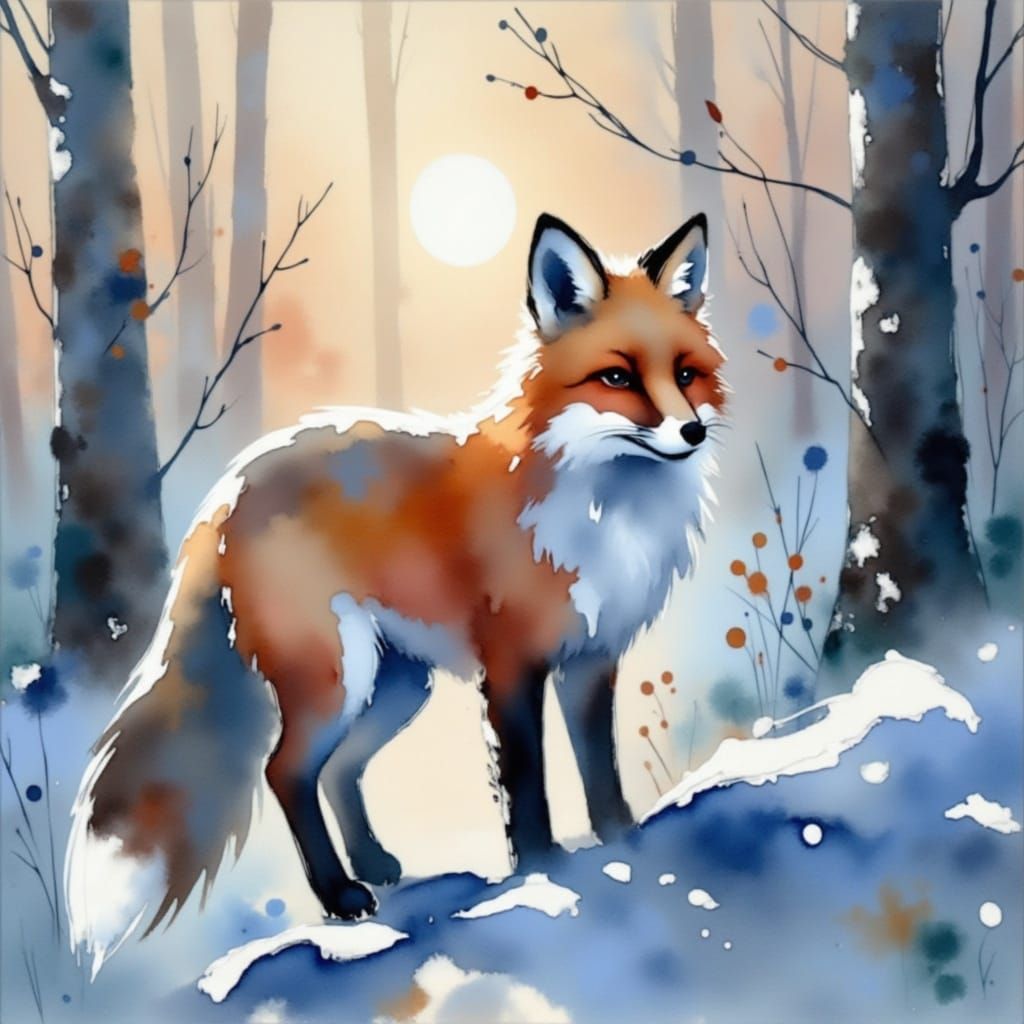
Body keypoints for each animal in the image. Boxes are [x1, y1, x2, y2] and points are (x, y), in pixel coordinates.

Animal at [65, 212, 726, 974]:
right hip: (334, 679)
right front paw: (541, 874)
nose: (692, 430)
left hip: (398, 687)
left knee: (337, 770)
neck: (602, 508)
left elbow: (601, 772)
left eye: (685, 374)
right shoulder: (512, 666)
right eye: (617, 377)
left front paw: (621, 843)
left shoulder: (592, 660)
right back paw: (338, 895)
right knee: (285, 771)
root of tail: (228, 489)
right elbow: (525, 784)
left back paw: (374, 864)